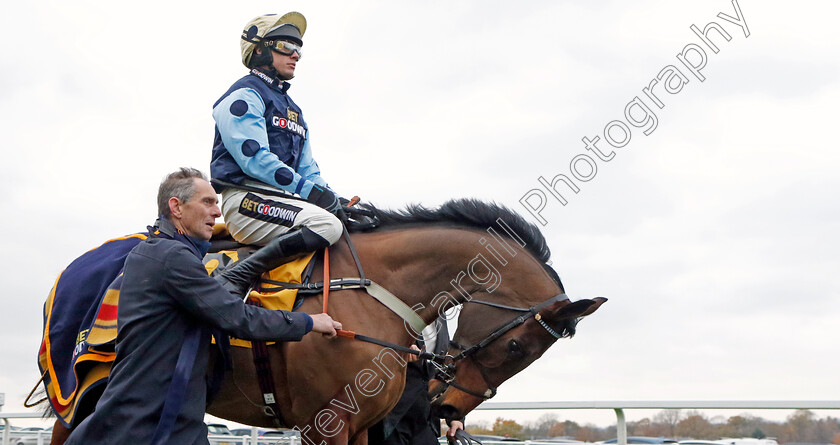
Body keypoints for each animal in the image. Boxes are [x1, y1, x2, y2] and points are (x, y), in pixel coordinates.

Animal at [44, 199, 604, 444]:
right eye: (517, 348)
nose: (450, 408)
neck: (374, 290)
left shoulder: (364, 427)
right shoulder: (325, 423)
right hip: (80, 397)